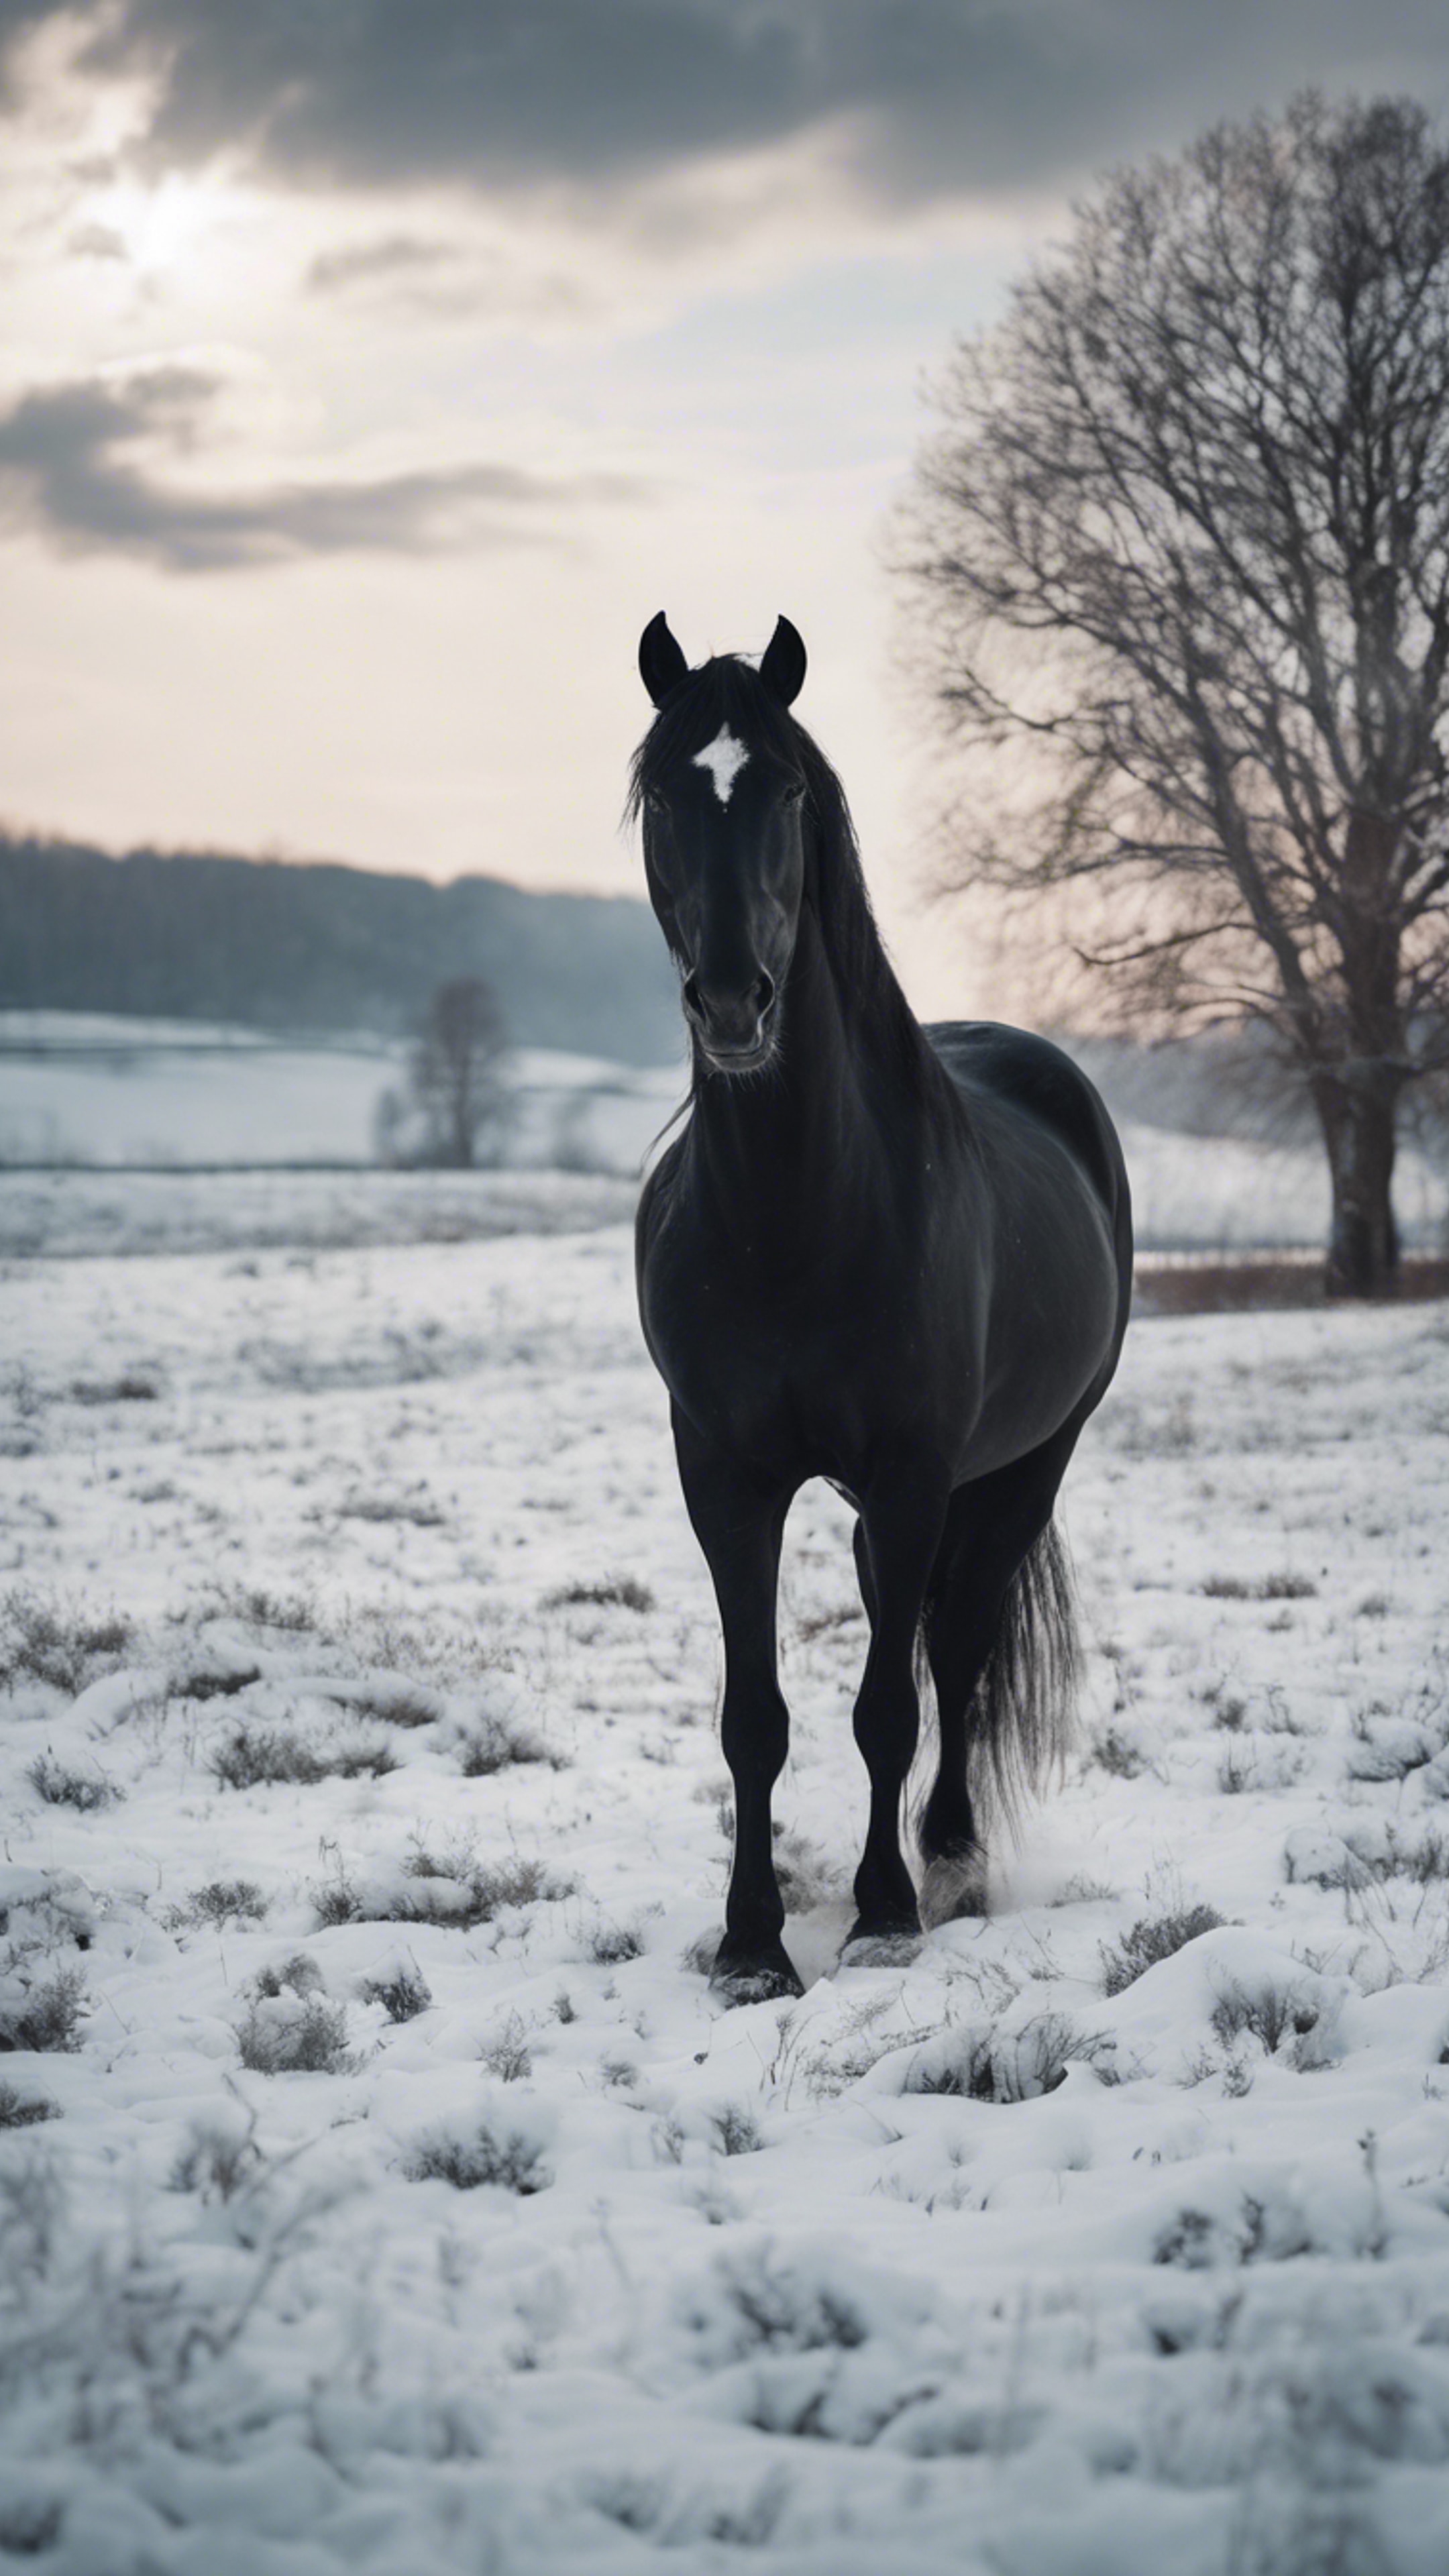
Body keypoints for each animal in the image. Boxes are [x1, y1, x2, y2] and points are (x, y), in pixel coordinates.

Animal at [631, 612, 1129, 1998]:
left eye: (791, 792)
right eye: (665, 792)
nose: (734, 1002)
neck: (791, 1218)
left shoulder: (914, 1474)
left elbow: (890, 1708)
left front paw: (885, 1914)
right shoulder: (724, 1476)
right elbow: (755, 1719)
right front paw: (752, 1943)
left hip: (1024, 1468)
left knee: (955, 1650)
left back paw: (950, 1858)